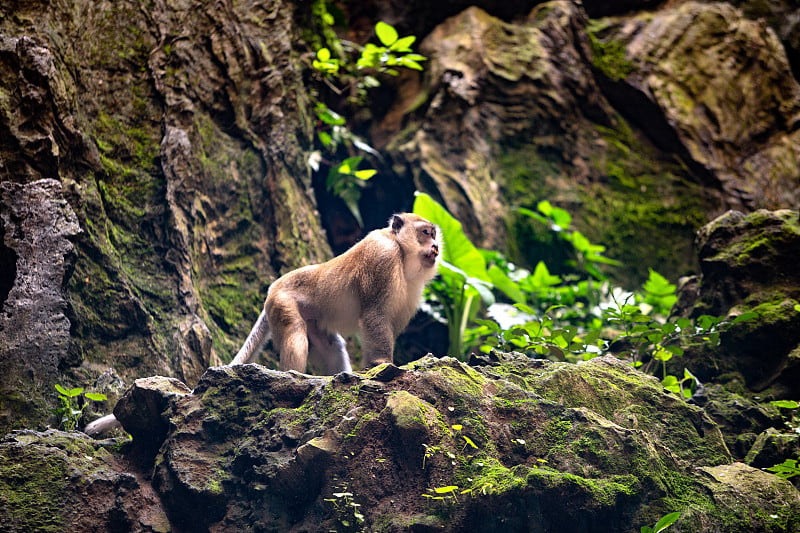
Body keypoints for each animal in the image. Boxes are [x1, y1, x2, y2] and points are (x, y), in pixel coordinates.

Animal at [86, 213, 444, 436]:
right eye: (426, 232)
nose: (437, 247)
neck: (401, 254)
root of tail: (273, 287)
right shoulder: (381, 259)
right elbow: (374, 316)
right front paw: (383, 364)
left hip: (311, 320)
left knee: (330, 345)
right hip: (284, 305)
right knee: (296, 337)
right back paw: (294, 376)